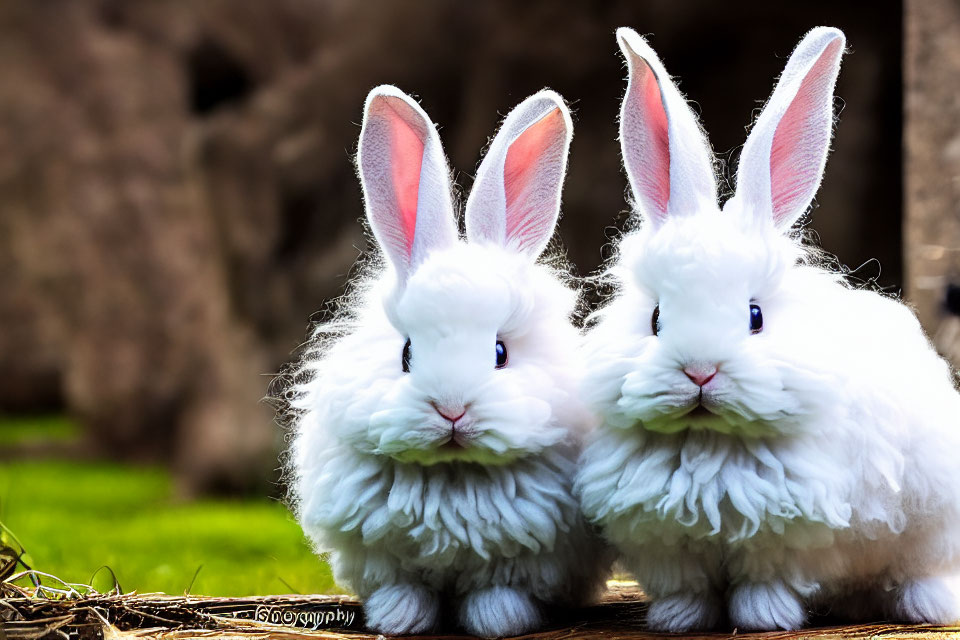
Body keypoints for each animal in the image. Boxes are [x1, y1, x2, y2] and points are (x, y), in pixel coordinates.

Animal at [284, 84, 612, 636]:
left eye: (500, 352)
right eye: (406, 352)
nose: (452, 410)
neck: (454, 471)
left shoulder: (522, 557)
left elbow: (499, 589)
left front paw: (498, 619)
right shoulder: (383, 556)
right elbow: (402, 587)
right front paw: (400, 618)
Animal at [572, 26, 960, 636]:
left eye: (755, 316)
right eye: (655, 318)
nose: (700, 372)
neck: (709, 440)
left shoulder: (784, 538)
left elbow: (765, 582)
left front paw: (765, 618)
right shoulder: (668, 545)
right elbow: (687, 589)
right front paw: (678, 620)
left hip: (934, 523)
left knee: (924, 570)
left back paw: (924, 606)